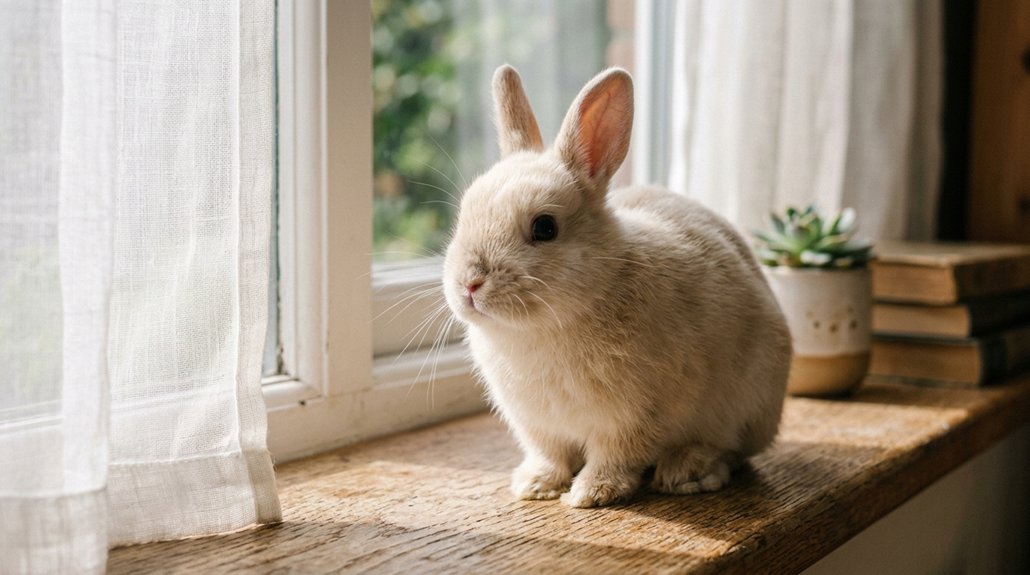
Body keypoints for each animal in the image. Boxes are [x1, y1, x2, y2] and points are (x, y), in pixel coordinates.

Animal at [442, 65, 791, 508]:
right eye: (464, 214)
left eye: (544, 227)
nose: (468, 283)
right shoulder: (539, 427)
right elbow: (550, 455)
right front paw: (535, 485)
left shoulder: (634, 418)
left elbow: (617, 457)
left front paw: (590, 494)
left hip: (745, 406)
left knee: (730, 449)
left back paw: (687, 471)